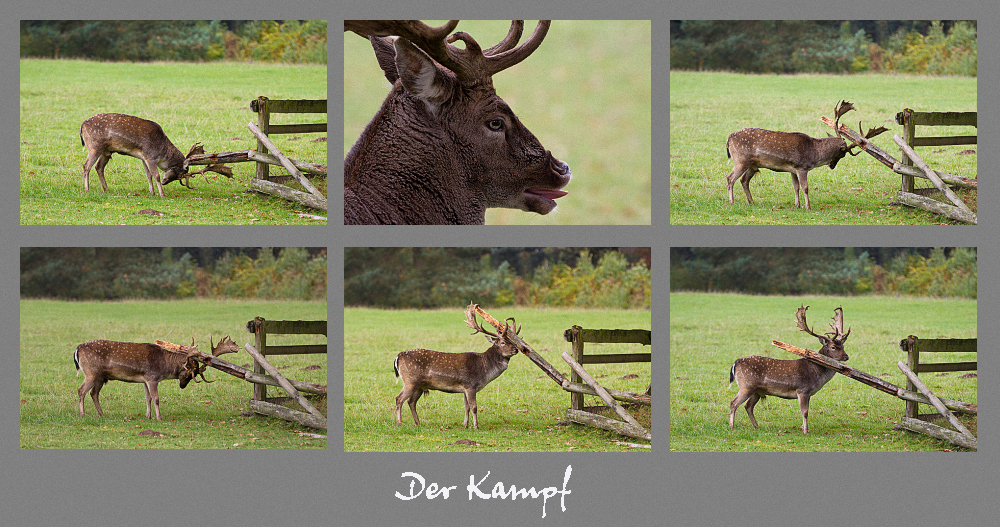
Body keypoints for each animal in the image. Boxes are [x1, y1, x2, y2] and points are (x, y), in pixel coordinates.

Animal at [394, 306, 528, 428]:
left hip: (420, 385)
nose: (516, 350)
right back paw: (399, 423)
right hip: (410, 380)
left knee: (411, 402)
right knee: (399, 398)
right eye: (503, 342)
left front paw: (465, 425)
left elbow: (466, 407)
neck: (484, 368)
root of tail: (398, 357)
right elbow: (474, 407)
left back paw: (418, 423)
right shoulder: (471, 384)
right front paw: (476, 426)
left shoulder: (465, 388)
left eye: (513, 342)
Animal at [724, 100, 864, 209]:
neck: (815, 153)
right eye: (842, 154)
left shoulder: (793, 169)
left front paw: (797, 205)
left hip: (752, 165)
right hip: (741, 160)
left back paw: (751, 201)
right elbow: (805, 187)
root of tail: (729, 138)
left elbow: (795, 187)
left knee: (743, 180)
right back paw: (731, 202)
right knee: (730, 178)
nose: (832, 166)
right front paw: (808, 207)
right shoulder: (802, 166)